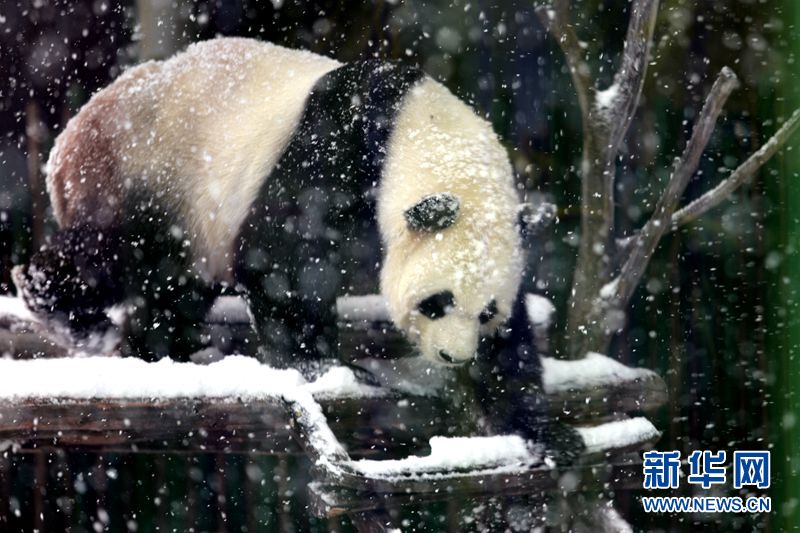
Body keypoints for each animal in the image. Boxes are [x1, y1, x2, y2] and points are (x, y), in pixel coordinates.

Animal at [14, 38, 552, 440]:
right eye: (437, 302)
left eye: (485, 312)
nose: (454, 356)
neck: (416, 128)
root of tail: (70, 140)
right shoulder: (334, 143)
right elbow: (284, 257)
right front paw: (319, 363)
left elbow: (515, 338)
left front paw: (528, 421)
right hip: (144, 169)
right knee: (110, 253)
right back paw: (67, 313)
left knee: (174, 286)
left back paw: (164, 349)